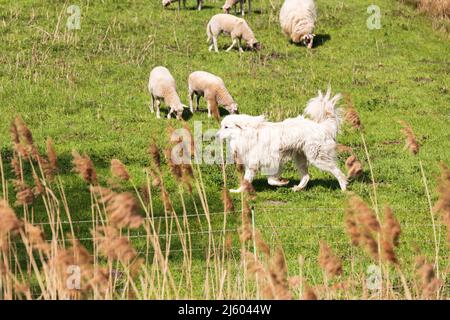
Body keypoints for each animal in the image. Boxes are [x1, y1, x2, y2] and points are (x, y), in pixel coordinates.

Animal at [218, 87, 348, 192]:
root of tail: (322, 127)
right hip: (300, 158)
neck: (247, 133)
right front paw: (238, 191)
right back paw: (298, 188)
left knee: (338, 172)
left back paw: (344, 190)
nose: (216, 135)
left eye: (226, 127)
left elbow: (270, 180)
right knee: (306, 176)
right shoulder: (254, 163)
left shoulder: (271, 160)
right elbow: (250, 181)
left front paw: (281, 182)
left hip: (318, 158)